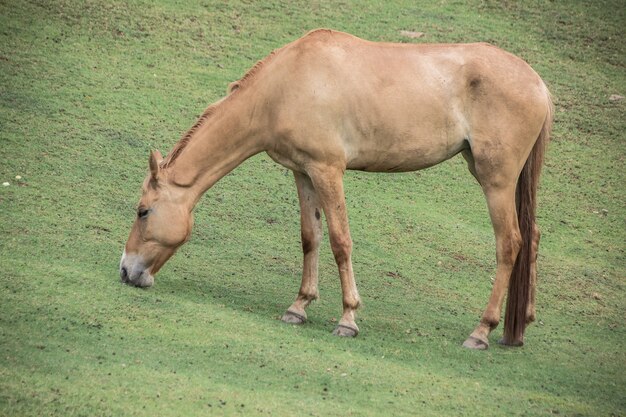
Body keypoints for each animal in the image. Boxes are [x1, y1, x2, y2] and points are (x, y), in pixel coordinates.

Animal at [119, 28, 548, 348]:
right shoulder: (304, 173)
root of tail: (537, 83)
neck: (287, 84)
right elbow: (311, 237)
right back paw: (519, 327)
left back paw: (482, 331)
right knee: (532, 236)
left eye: (143, 211)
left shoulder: (328, 171)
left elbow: (341, 241)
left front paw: (348, 318)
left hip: (496, 180)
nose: (125, 270)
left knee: (509, 243)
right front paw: (299, 306)